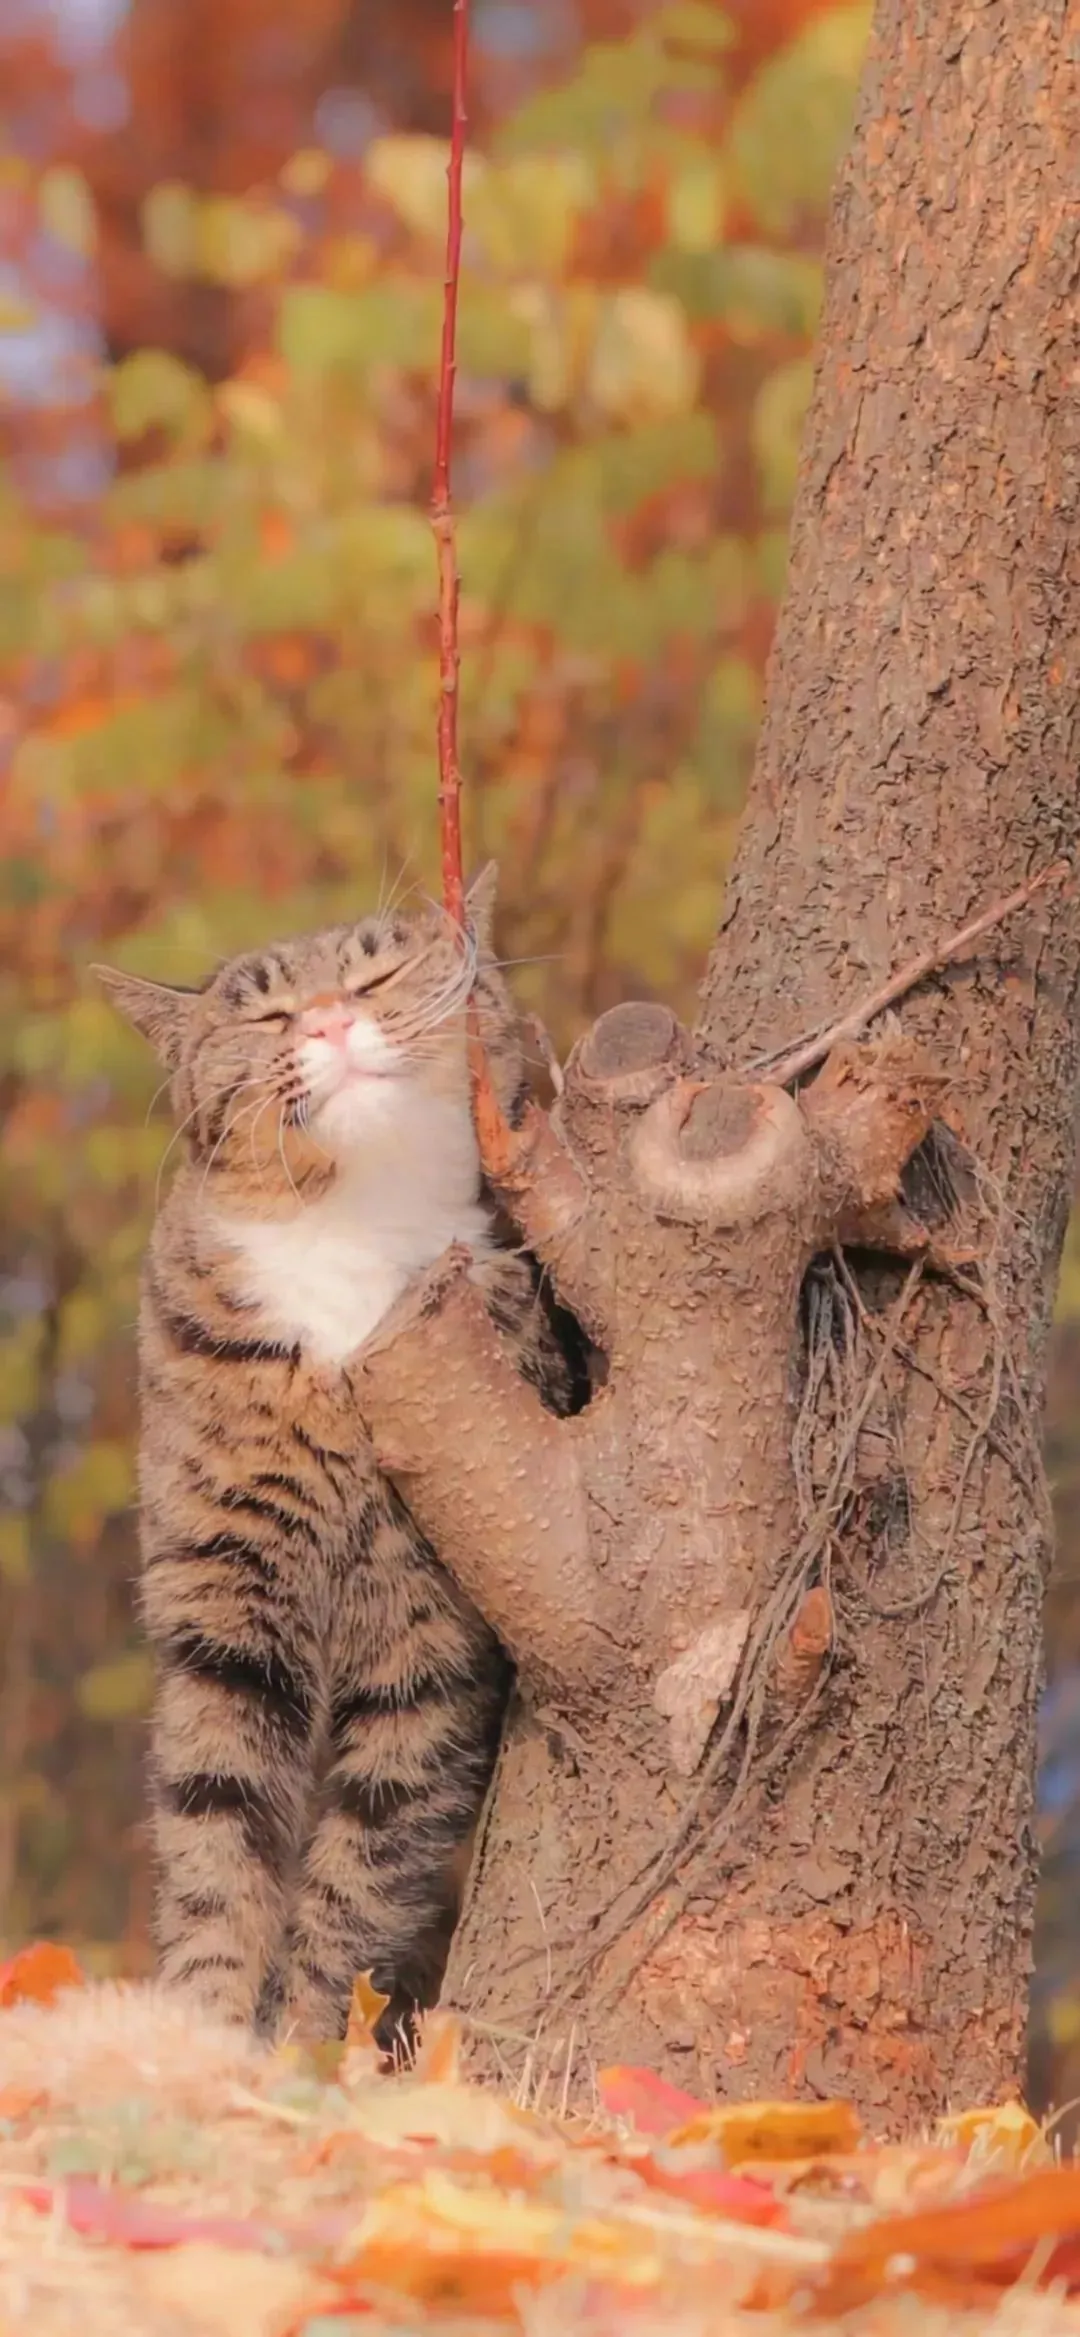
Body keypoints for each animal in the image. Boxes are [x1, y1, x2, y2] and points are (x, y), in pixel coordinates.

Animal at [95, 869, 577, 2046]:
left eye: (377, 972)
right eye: (266, 1013)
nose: (324, 1020)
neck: (358, 1234)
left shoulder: (431, 1636)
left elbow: (362, 1864)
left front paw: (312, 2052)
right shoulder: (221, 1604)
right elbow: (215, 1827)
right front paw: (212, 2038)